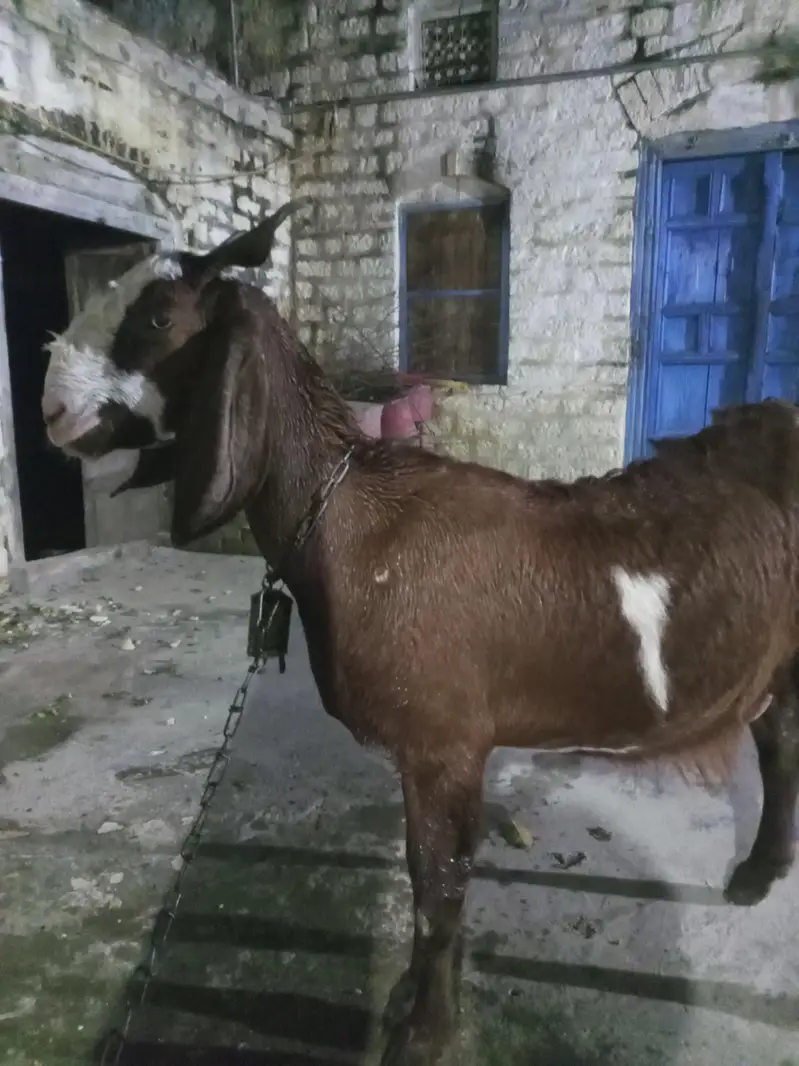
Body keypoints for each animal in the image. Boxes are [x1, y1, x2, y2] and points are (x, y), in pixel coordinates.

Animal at [41, 204, 799, 1066]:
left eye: (159, 318)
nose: (53, 412)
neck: (349, 520)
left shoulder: (445, 741)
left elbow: (436, 884)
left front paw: (422, 1031)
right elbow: (428, 882)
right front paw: (414, 995)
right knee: (777, 742)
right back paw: (759, 872)